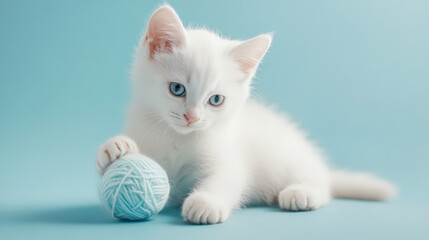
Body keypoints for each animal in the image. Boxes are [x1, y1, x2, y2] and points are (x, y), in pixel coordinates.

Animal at [96, 4, 394, 224]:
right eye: (177, 89)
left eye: (216, 100)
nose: (192, 118)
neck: (178, 138)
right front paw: (116, 148)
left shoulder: (228, 158)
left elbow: (226, 178)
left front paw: (204, 203)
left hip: (290, 160)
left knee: (323, 187)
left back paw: (302, 193)